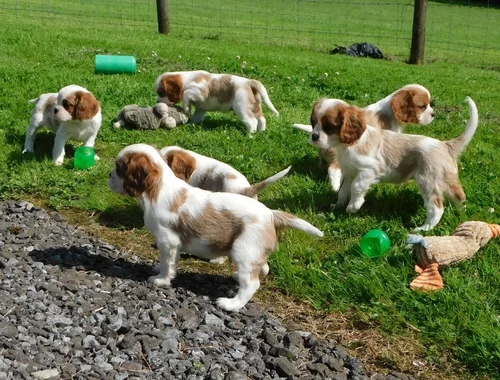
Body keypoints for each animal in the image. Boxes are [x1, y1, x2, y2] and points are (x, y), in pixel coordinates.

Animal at [310, 96, 478, 230]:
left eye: (329, 126)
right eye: (313, 122)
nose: (314, 136)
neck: (346, 145)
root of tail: (445, 145)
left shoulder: (370, 170)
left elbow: (356, 186)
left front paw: (353, 207)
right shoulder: (349, 172)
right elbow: (343, 190)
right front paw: (337, 206)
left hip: (428, 181)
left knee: (436, 208)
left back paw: (424, 228)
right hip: (445, 180)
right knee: (460, 195)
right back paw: (461, 212)